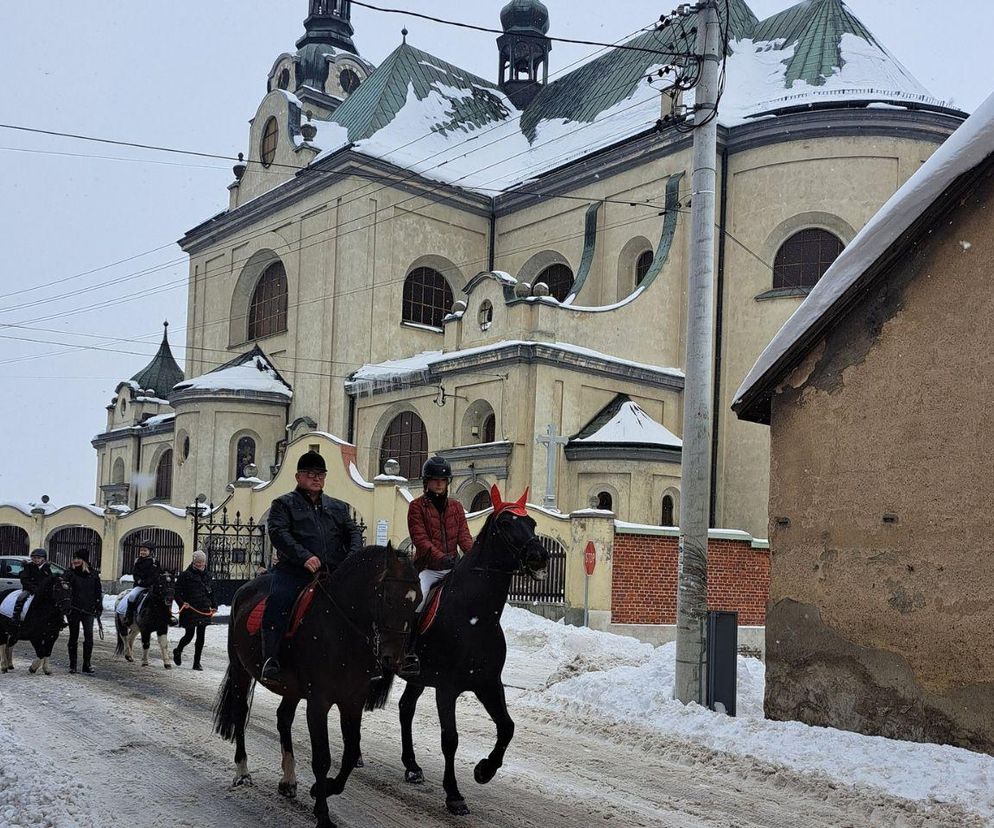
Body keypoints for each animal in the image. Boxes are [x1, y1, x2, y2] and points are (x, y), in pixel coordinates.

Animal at [212, 544, 418, 828]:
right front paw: (322, 814)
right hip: (241, 671)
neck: (342, 630)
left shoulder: (352, 701)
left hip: (291, 689)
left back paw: (288, 779)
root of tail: (245, 588)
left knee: (283, 718)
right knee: (241, 714)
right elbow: (322, 759)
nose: (395, 659)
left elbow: (351, 753)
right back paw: (242, 772)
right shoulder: (319, 703)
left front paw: (326, 788)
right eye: (388, 597)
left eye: (417, 602)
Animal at [366, 486, 552, 816]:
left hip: (417, 679)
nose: (539, 557)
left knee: (405, 708)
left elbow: (507, 727)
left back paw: (412, 767)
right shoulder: (447, 688)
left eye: (531, 523)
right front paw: (453, 794)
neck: (474, 615)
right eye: (505, 523)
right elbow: (450, 739)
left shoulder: (488, 683)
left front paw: (484, 770)